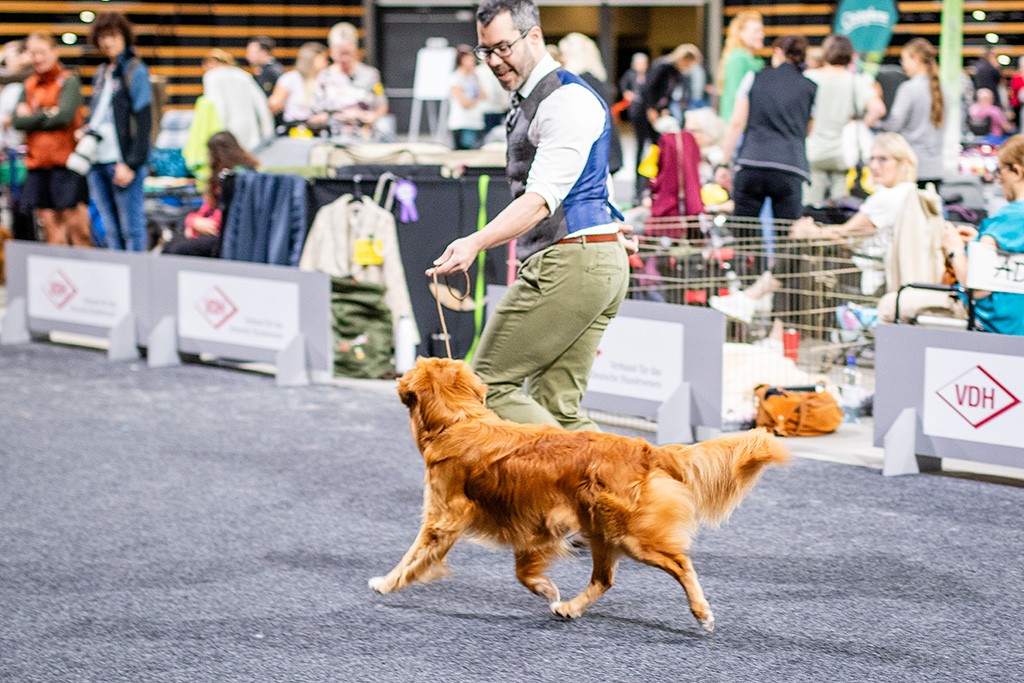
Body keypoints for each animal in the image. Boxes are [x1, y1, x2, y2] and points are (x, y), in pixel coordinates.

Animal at [372, 358, 786, 630]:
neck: (458, 420)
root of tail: (644, 448)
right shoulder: (534, 523)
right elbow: (523, 570)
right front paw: (545, 588)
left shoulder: (444, 517)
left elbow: (413, 556)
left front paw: (387, 582)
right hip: (600, 530)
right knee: (604, 579)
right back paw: (570, 607)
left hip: (630, 535)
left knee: (680, 564)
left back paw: (702, 613)